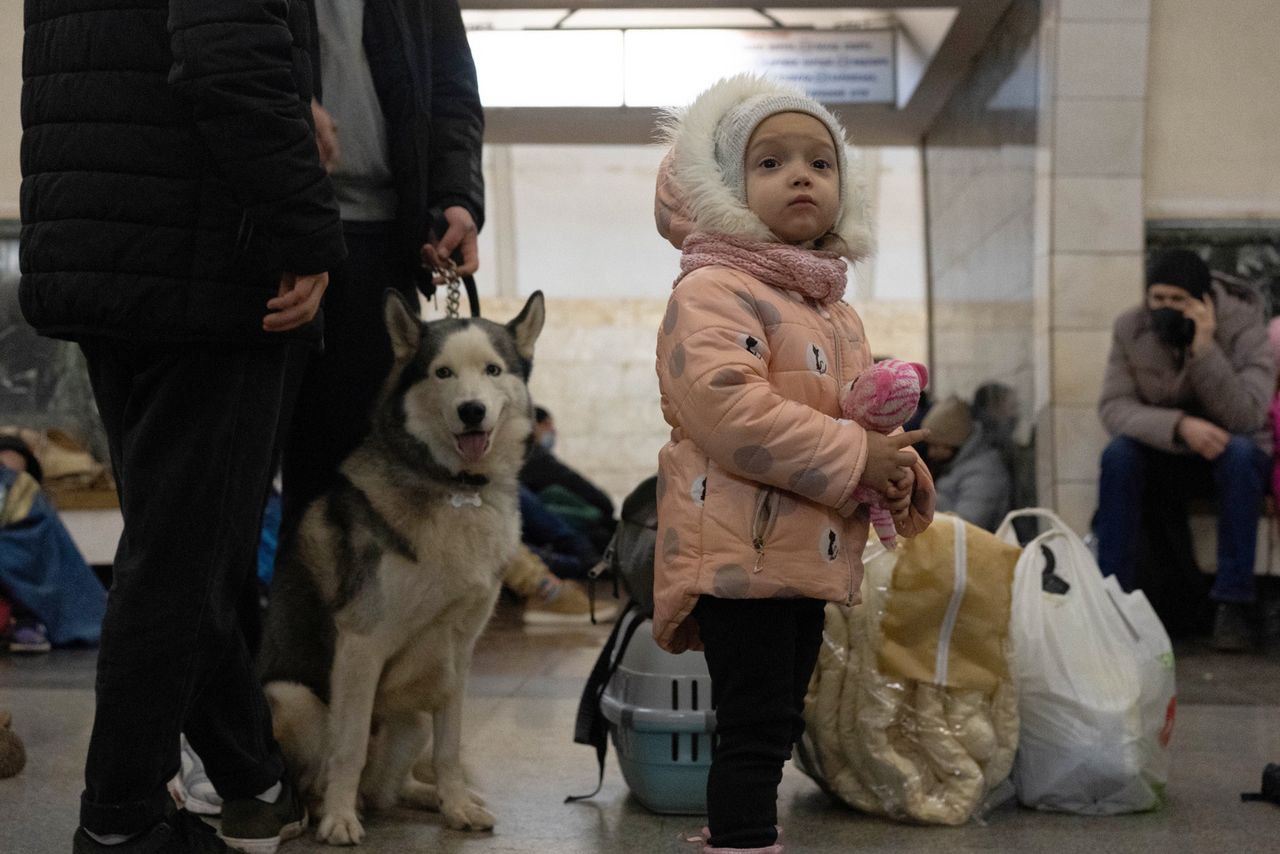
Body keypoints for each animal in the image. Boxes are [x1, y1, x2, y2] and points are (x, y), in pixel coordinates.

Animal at [257, 290, 542, 845]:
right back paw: (325, 810)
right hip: (294, 701)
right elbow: (347, 749)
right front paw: (339, 822)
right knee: (326, 775)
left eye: (493, 370)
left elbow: (449, 749)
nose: (471, 411)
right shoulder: (362, 645)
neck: (457, 489)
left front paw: (457, 805)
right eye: (443, 372)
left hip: (411, 718)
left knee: (388, 786)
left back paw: (430, 797)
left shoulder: (459, 652)